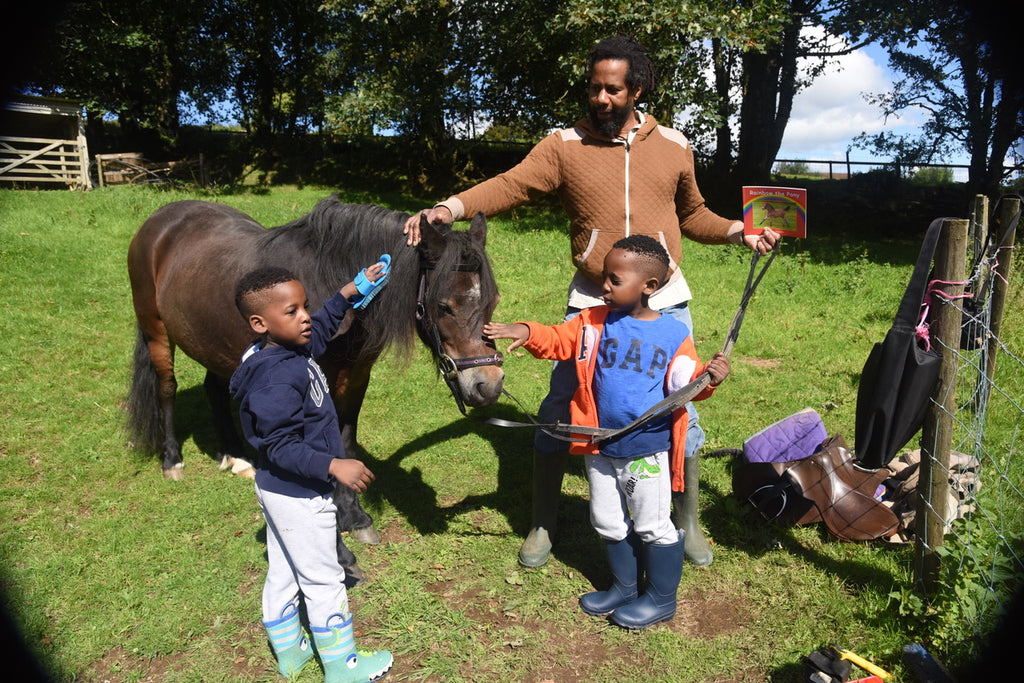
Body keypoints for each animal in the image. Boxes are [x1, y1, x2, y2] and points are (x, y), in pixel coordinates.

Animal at [125, 196, 501, 565]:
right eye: (444, 305)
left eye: (492, 300)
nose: (490, 385)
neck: (326, 278)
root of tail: (162, 217)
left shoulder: (355, 376)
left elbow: (345, 441)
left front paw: (355, 516)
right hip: (156, 330)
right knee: (167, 388)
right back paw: (172, 460)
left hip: (214, 341)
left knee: (214, 390)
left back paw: (235, 457)